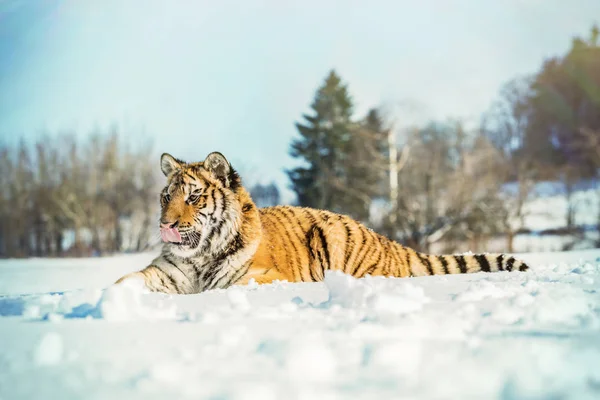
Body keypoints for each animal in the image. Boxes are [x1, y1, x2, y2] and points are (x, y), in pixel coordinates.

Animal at [116, 152, 528, 296]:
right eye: (166, 197)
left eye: (194, 197)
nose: (165, 224)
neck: (201, 256)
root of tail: (389, 241)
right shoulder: (166, 272)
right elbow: (129, 279)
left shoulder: (264, 276)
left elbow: (225, 286)